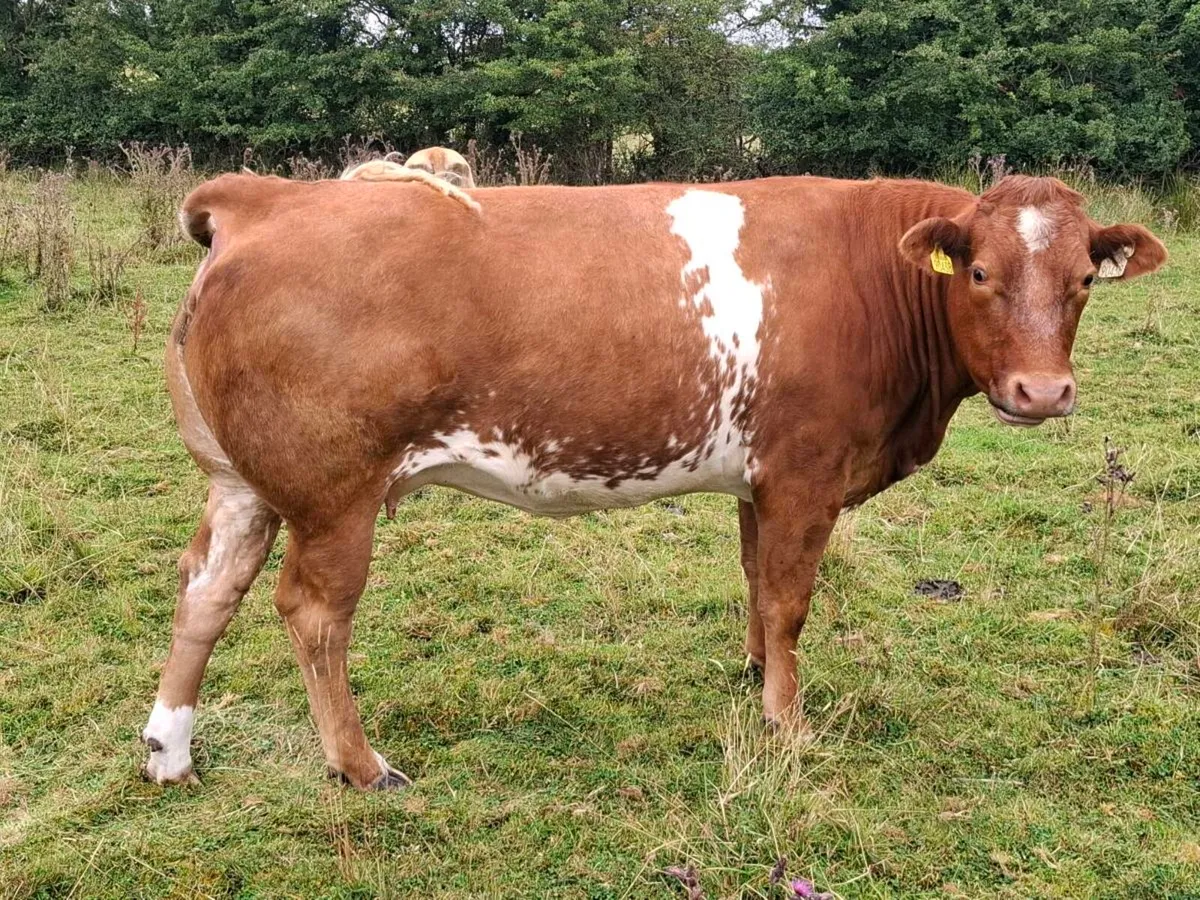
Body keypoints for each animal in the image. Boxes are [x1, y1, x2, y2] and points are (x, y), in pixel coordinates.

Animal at [142, 172, 1167, 789]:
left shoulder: (760, 478)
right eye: (981, 272)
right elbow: (792, 597)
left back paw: (169, 751)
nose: (1042, 392)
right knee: (313, 611)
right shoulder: (805, 471)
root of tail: (268, 198)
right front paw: (788, 724)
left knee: (206, 589)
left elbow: (757, 584)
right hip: (333, 494)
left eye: (1083, 279)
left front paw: (755, 677)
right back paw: (360, 767)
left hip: (241, 483)